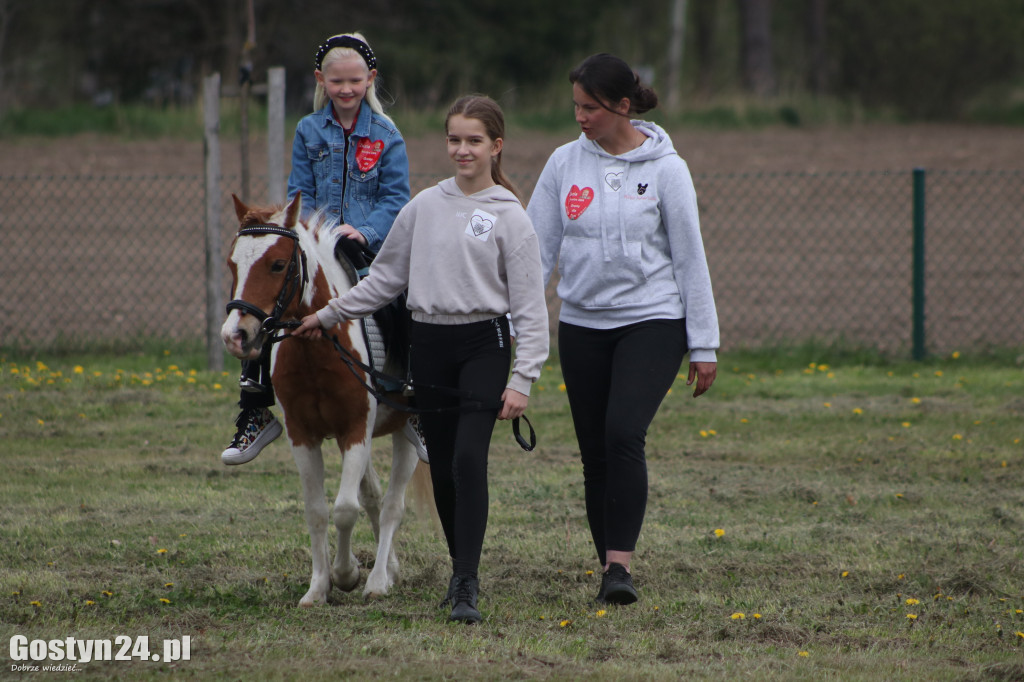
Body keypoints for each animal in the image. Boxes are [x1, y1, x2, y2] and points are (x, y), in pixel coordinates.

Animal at [222, 193, 430, 602]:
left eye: (278, 264)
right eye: (232, 263)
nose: (235, 335)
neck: (316, 345)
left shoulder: (355, 429)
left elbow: (345, 508)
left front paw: (347, 575)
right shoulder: (303, 434)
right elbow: (317, 510)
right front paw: (318, 587)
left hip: (405, 433)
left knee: (392, 505)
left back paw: (378, 581)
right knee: (374, 497)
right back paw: (389, 570)